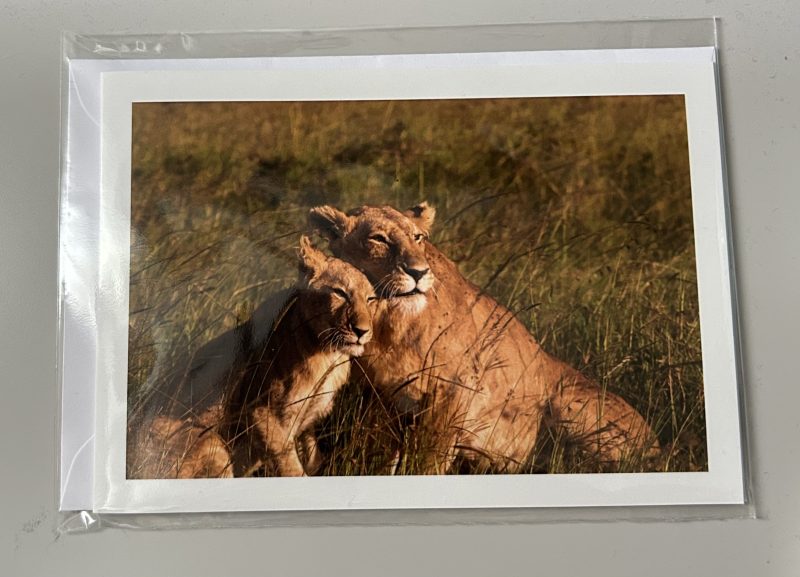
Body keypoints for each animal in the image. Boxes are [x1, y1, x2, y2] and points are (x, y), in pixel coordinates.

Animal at [309, 202, 659, 473]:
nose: (418, 272)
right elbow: (378, 459)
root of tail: (658, 445)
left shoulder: (451, 394)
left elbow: (427, 462)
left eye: (418, 237)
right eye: (379, 239)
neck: (388, 322)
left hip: (567, 403)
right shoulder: (379, 403)